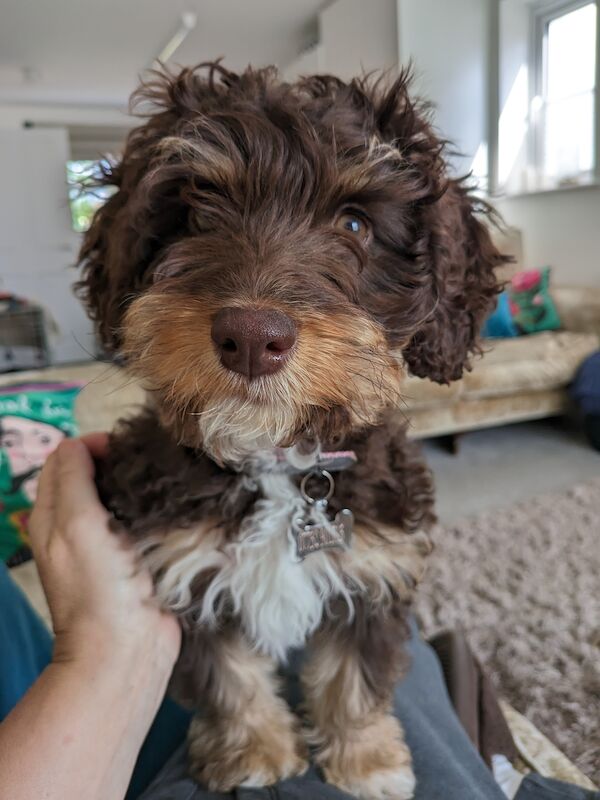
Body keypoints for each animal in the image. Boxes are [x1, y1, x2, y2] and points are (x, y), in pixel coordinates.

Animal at [75, 64, 506, 800]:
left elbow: (354, 674)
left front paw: (366, 761)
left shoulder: (374, 563)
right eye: (197, 210)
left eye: (355, 222)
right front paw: (254, 754)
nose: (251, 336)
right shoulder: (187, 564)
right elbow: (227, 675)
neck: (277, 458)